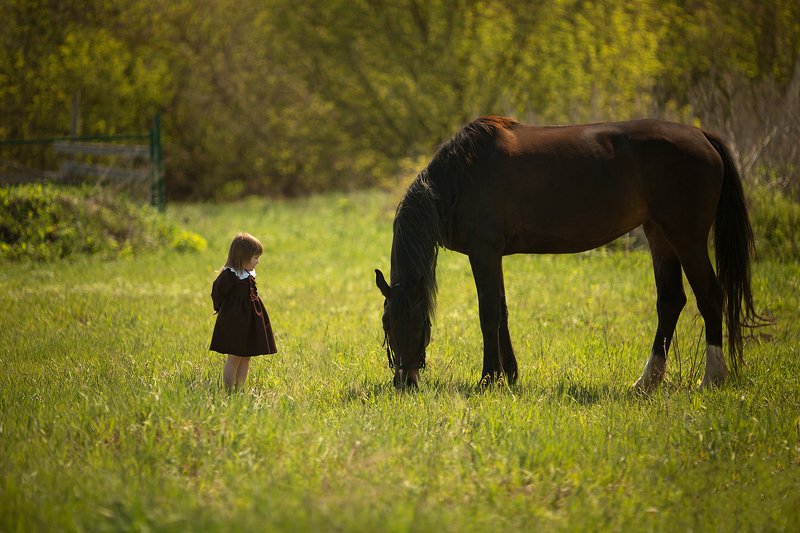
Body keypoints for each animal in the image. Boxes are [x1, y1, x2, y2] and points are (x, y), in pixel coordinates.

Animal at [375, 116, 759, 390]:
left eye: (410, 321)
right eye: (386, 322)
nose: (404, 381)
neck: (459, 177)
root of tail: (702, 137)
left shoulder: (483, 252)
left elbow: (488, 315)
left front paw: (488, 379)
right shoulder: (494, 255)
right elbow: (503, 312)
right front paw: (509, 375)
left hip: (686, 237)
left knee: (709, 296)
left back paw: (711, 378)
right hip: (659, 235)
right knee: (670, 301)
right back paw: (646, 382)